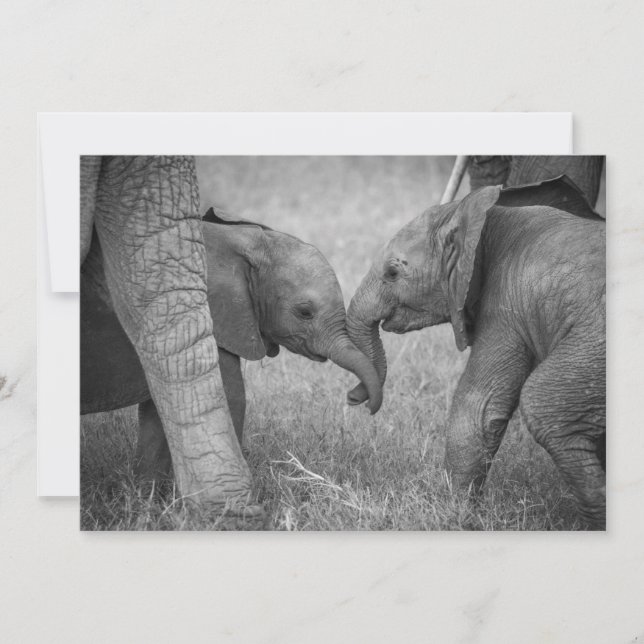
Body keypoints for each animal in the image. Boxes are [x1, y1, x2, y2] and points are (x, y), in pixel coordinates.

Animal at [81, 207, 383, 483]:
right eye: (305, 312)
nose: (354, 398)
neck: (243, 240)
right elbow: (230, 399)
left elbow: (157, 413)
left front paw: (149, 495)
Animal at [345, 176, 606, 528]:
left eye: (392, 273)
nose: (352, 398)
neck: (478, 216)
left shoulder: (505, 307)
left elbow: (477, 407)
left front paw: (453, 514)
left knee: (543, 405)